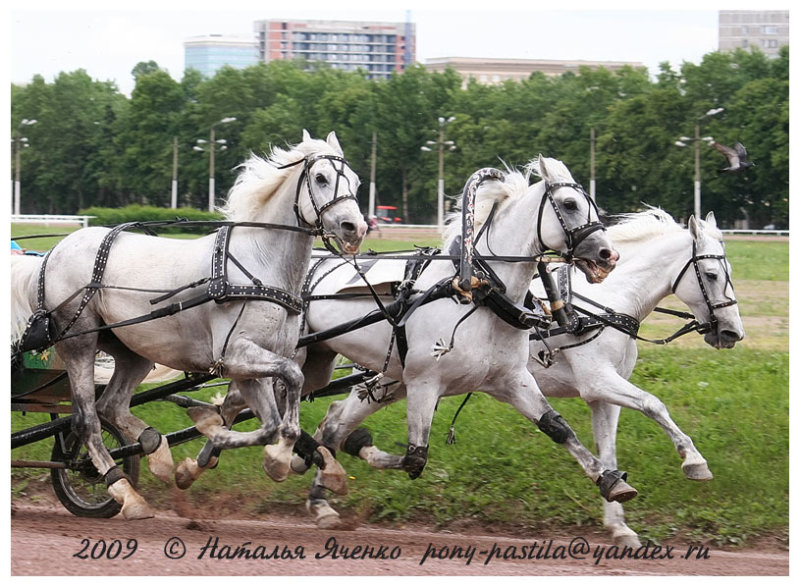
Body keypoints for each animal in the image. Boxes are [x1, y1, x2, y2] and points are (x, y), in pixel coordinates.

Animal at [10, 130, 366, 516]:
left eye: (357, 181)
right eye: (321, 178)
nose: (355, 228)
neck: (258, 266)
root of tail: (50, 255)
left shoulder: (251, 365)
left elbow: (272, 422)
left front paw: (239, 444)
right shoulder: (235, 354)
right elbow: (293, 380)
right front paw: (261, 449)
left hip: (134, 351)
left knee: (112, 406)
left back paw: (156, 451)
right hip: (78, 343)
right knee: (87, 420)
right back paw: (123, 490)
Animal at [306, 205, 744, 540]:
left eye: (728, 272)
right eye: (711, 275)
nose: (731, 332)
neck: (601, 306)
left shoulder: (601, 398)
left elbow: (608, 450)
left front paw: (618, 521)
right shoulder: (599, 381)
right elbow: (654, 404)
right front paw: (693, 461)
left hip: (394, 381)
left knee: (337, 421)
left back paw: (322, 490)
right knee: (333, 420)